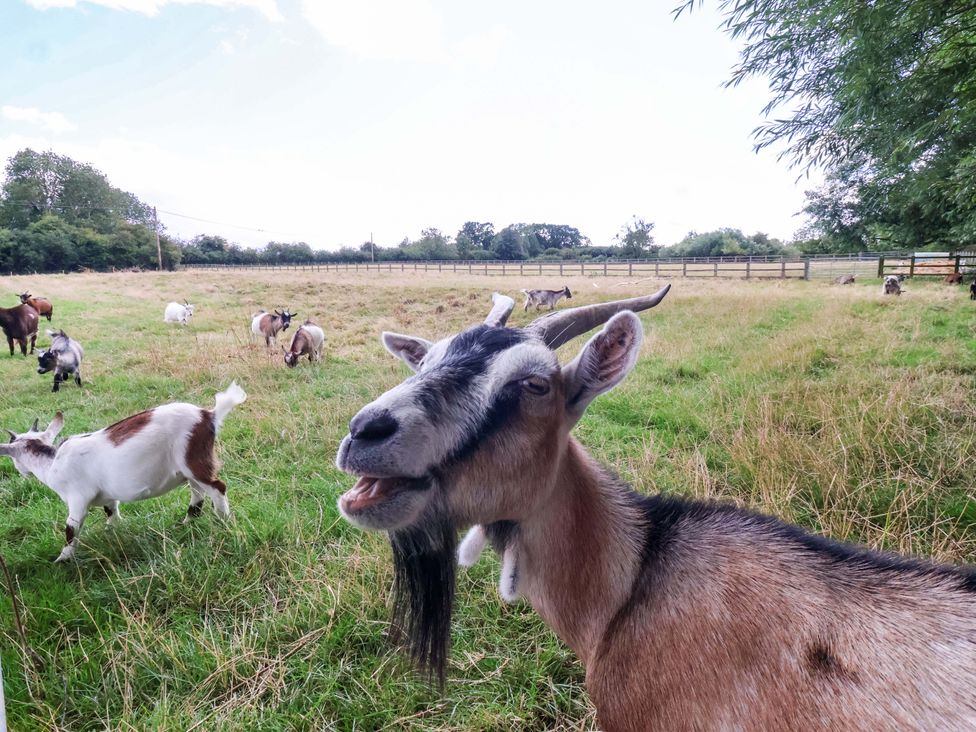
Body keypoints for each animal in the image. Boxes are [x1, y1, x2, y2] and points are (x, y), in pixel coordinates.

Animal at [0, 383, 247, 561]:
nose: (21, 472)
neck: (52, 463)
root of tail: (209, 415)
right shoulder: (107, 496)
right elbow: (112, 512)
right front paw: (111, 532)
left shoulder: (77, 497)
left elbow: (71, 528)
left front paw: (62, 560)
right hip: (189, 468)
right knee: (198, 493)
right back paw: (186, 523)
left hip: (193, 460)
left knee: (217, 488)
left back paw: (224, 521)